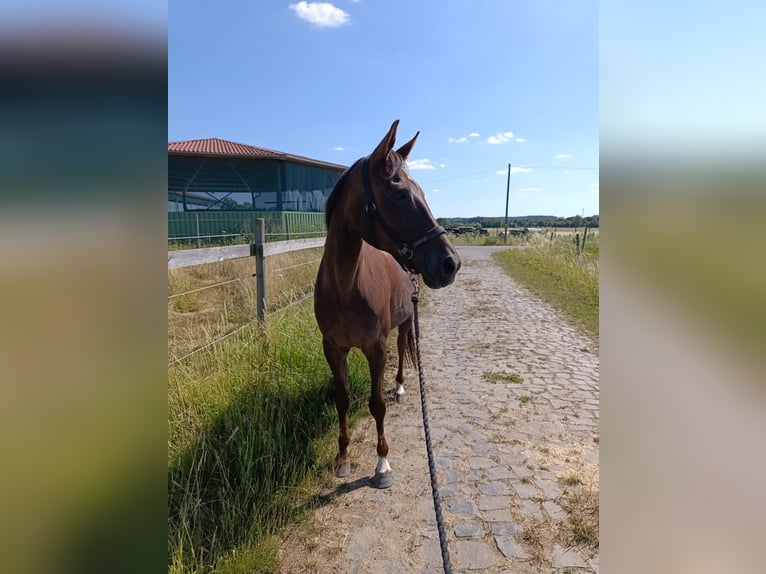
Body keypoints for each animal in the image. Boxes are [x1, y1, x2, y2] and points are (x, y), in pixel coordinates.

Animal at [314, 120, 461, 489]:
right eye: (398, 195)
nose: (450, 264)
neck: (345, 286)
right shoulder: (332, 348)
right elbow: (342, 400)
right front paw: (343, 458)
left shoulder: (375, 347)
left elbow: (377, 404)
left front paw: (382, 464)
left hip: (405, 321)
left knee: (403, 345)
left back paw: (400, 387)